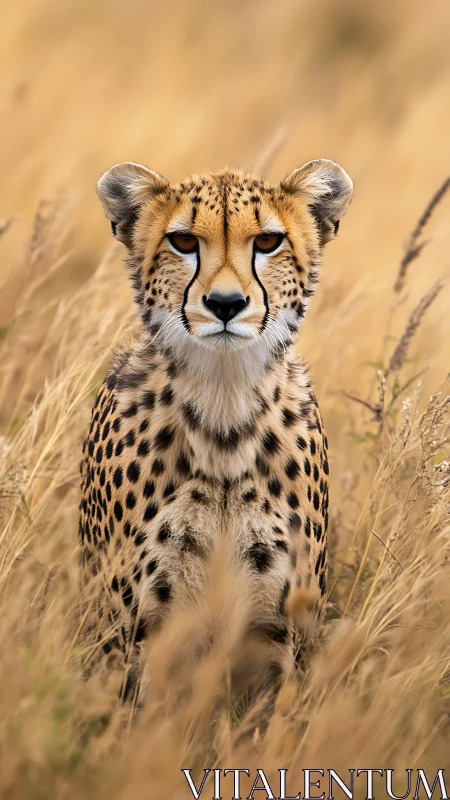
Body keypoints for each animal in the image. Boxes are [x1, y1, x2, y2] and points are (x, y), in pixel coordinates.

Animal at [79, 158, 353, 702]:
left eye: (267, 241)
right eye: (184, 241)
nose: (225, 303)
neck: (224, 412)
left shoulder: (276, 634)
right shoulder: (133, 634)